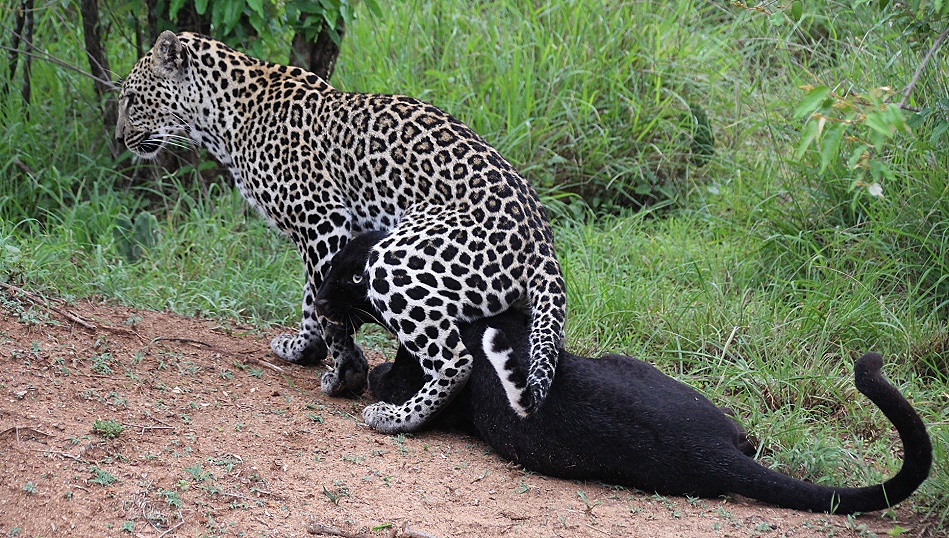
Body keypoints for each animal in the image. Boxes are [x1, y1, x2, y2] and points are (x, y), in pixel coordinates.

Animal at [115, 31, 566, 433]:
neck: (224, 116)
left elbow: (323, 302)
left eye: (132, 100)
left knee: (456, 360)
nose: (119, 139)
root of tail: (542, 242)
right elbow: (309, 296)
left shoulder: (321, 218)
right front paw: (303, 348)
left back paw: (396, 416)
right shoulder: (321, 228)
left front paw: (345, 371)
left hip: (395, 260)